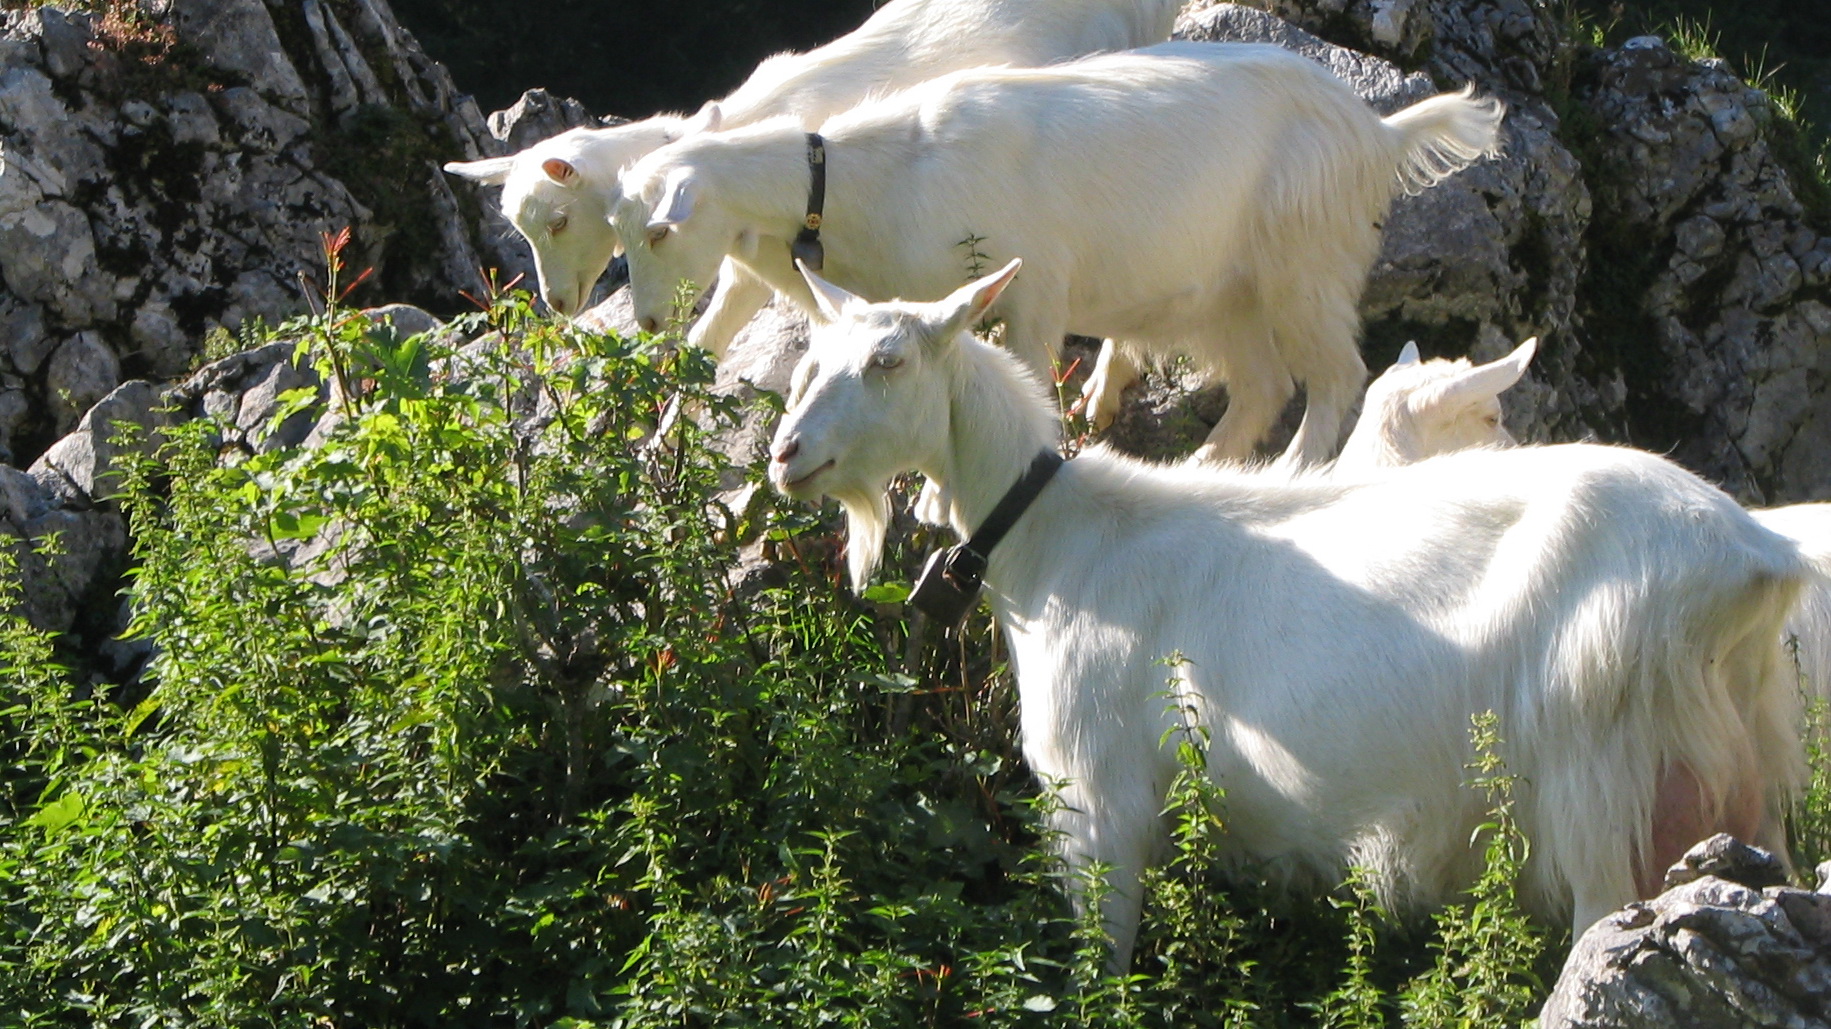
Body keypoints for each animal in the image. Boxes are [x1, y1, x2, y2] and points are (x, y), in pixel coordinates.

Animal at [615, 40, 1501, 465]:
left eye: (657, 232)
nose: (653, 322)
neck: (888, 172)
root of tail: (1377, 132)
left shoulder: (1033, 287)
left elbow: (1030, 376)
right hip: (1225, 289)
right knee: (1260, 383)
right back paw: (1205, 467)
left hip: (1301, 261)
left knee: (1334, 374)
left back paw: (1289, 468)